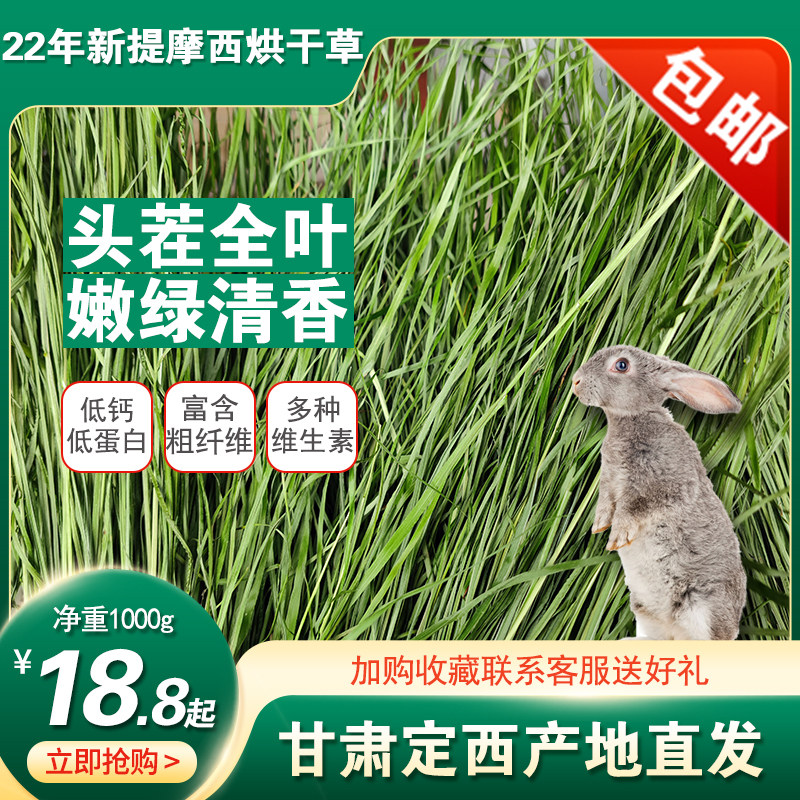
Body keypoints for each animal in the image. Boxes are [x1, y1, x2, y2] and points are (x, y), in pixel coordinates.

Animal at [571, 345, 746, 640]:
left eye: (621, 365)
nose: (575, 381)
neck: (633, 418)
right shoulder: (609, 482)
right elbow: (606, 503)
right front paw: (599, 526)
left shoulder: (664, 486)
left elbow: (635, 507)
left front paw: (617, 537)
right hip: (645, 611)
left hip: (702, 610)